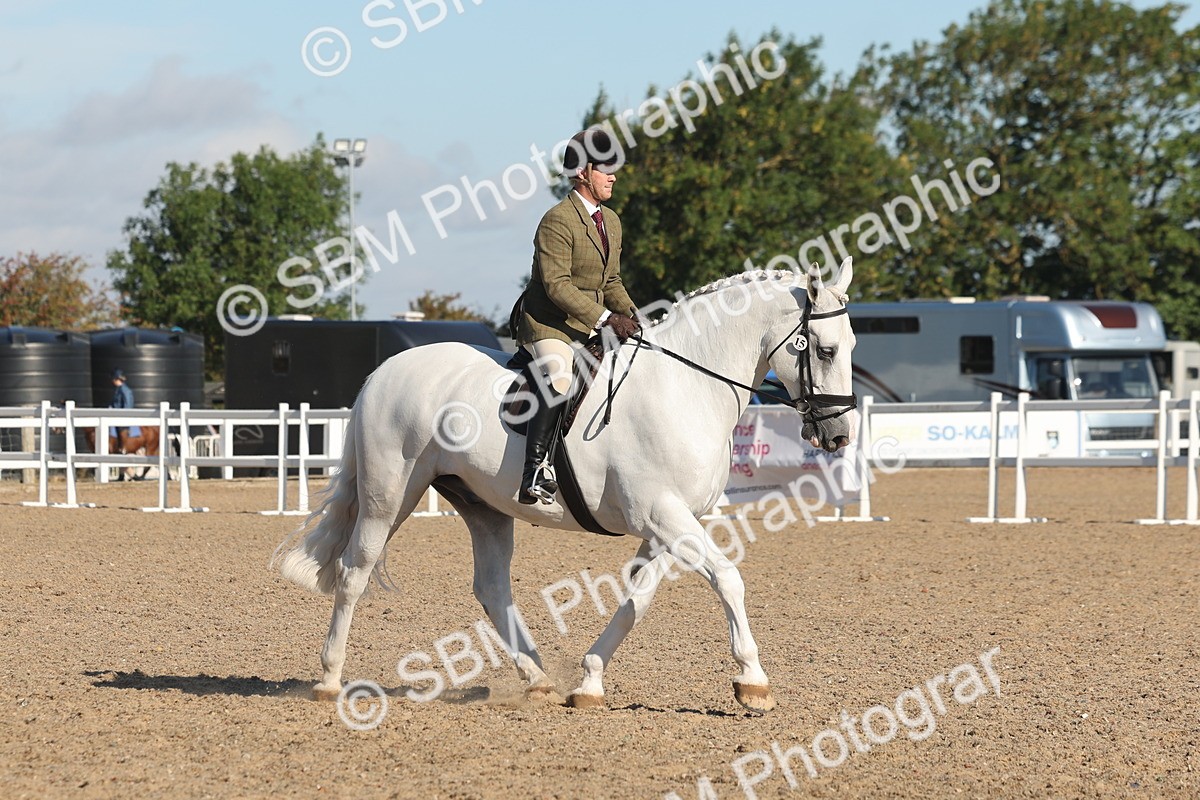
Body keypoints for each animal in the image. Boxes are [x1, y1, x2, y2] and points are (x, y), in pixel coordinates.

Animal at [274, 260, 857, 713]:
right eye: (825, 350)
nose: (840, 434)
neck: (687, 386)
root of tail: (384, 371)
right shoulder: (664, 514)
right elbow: (728, 579)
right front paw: (753, 682)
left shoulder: (670, 523)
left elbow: (636, 600)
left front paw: (590, 682)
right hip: (389, 496)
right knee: (354, 572)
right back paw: (329, 680)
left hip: (483, 506)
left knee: (491, 588)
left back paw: (537, 680)